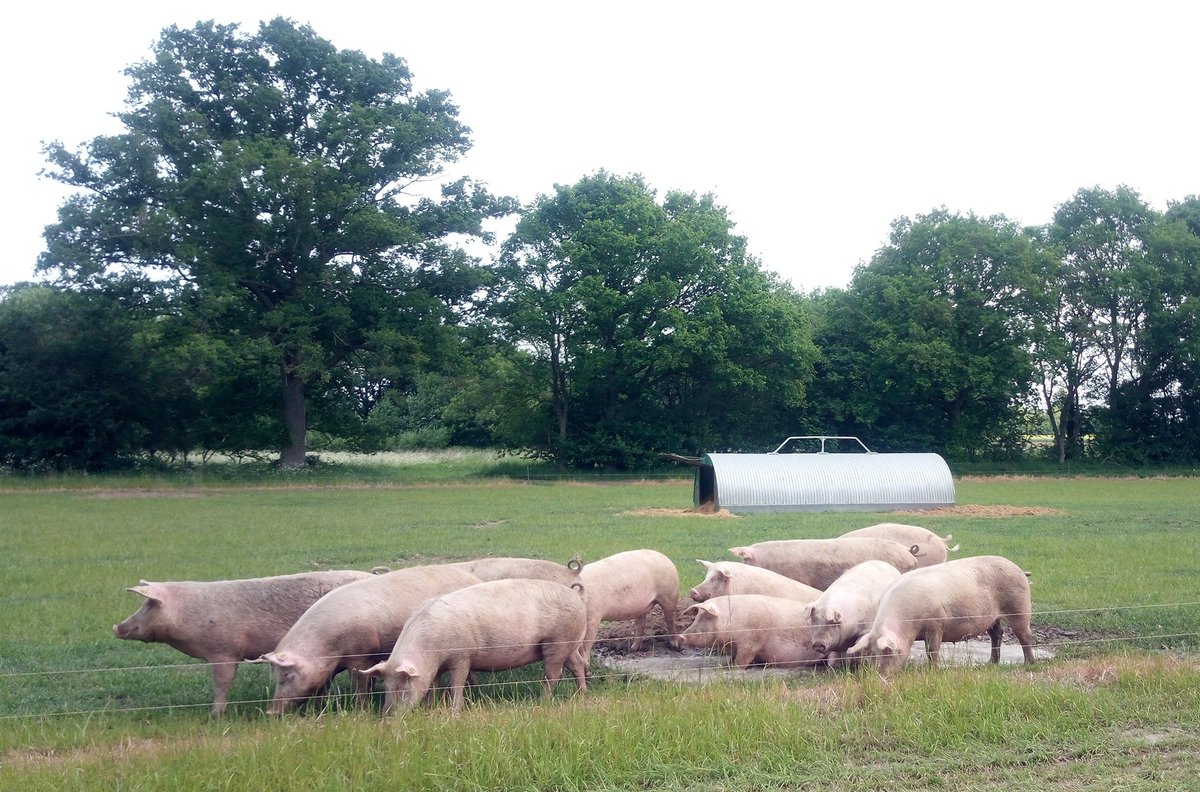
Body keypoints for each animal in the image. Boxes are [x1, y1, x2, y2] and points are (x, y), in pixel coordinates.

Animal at [112, 569, 372, 716]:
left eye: (149, 604)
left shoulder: (223, 651)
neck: (188, 614)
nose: (116, 627)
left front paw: (215, 715)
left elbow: (222, 682)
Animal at [254, 564, 481, 714]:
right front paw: (319, 710)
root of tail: (473, 578)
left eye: (285, 675)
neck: (326, 647)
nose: (270, 712)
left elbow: (359, 682)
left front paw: (361, 710)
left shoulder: (360, 653)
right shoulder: (329, 667)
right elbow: (324, 686)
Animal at [362, 578, 589, 714]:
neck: (431, 651)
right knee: (577, 665)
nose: (387, 718)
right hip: (569, 643)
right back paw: (582, 695)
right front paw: (430, 707)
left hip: (557, 641)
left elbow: (456, 683)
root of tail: (575, 596)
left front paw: (454, 711)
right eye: (386, 687)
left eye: (403, 687)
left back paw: (543, 702)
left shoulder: (462, 656)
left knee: (554, 674)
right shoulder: (435, 668)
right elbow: (433, 684)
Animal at [680, 594, 827, 669]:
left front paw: (734, 668)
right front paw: (726, 665)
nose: (680, 636)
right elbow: (733, 657)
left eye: (706, 617)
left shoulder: (751, 643)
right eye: (697, 617)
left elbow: (743, 659)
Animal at [846, 555, 1036, 674]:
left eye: (886, 653)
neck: (908, 624)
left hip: (1019, 606)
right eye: (868, 657)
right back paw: (991, 663)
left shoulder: (936, 625)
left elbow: (932, 651)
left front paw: (932, 670)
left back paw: (1029, 663)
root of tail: (1019, 570)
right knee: (997, 634)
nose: (878, 676)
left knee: (1025, 635)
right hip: (992, 617)